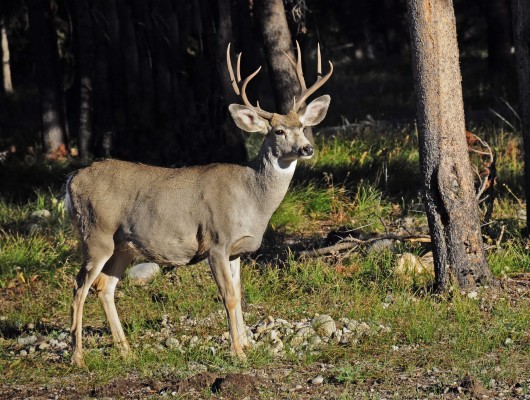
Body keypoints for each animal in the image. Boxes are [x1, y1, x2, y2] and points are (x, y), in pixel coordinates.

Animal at [65, 43, 330, 366]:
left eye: (302, 126)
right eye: (278, 131)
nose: (307, 148)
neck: (252, 199)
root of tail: (72, 180)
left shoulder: (236, 250)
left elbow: (239, 294)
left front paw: (248, 344)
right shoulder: (216, 242)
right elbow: (228, 296)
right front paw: (238, 351)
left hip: (123, 246)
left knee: (104, 287)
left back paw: (127, 351)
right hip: (95, 234)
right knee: (79, 286)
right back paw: (78, 356)